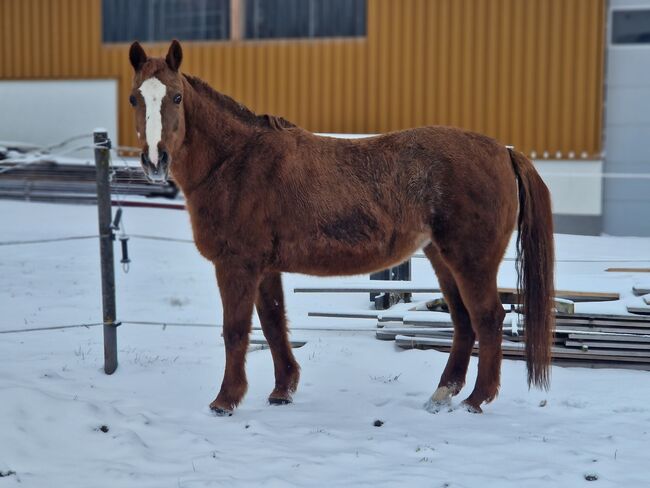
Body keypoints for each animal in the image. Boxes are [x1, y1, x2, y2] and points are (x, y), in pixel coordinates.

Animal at [126, 40, 552, 416]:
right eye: (134, 99)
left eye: (176, 97)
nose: (154, 160)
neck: (235, 161)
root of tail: (502, 151)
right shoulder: (264, 268)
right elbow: (274, 324)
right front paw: (282, 390)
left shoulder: (237, 265)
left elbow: (235, 331)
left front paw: (225, 401)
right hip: (442, 257)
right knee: (463, 321)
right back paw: (442, 394)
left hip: (470, 261)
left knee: (487, 319)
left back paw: (476, 400)